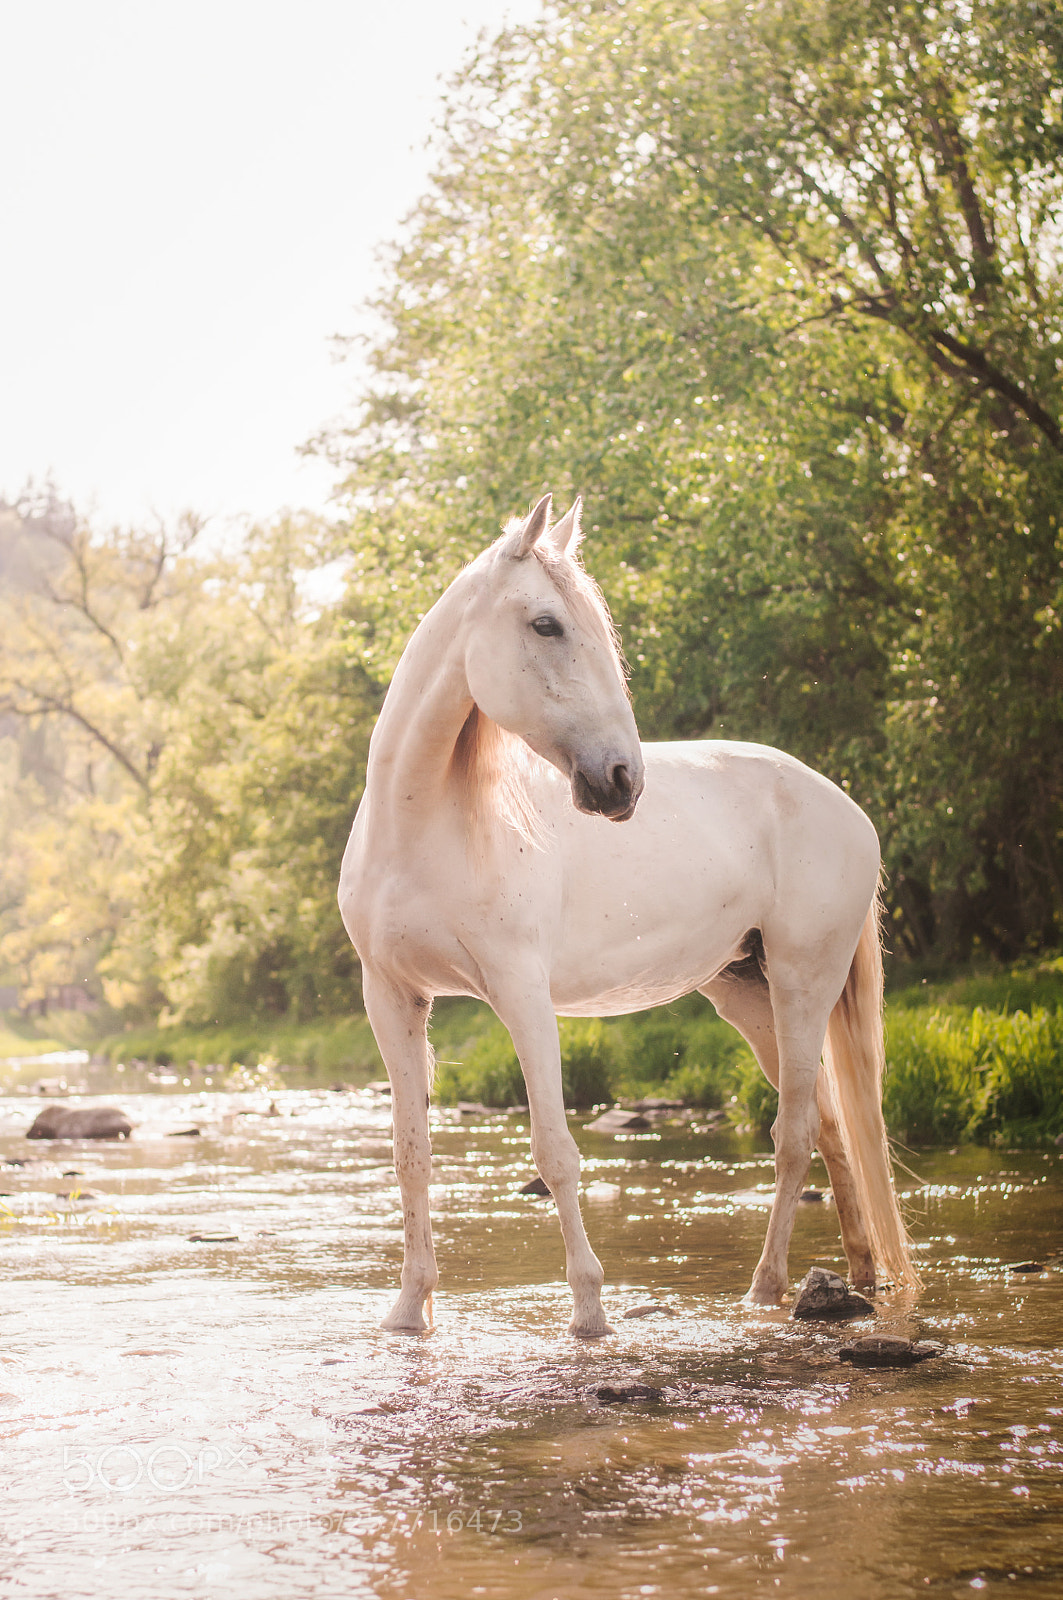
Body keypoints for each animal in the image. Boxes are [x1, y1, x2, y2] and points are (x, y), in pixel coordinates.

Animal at [338, 492, 918, 1337]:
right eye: (546, 624)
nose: (621, 780)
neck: (422, 826)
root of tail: (846, 807)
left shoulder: (521, 995)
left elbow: (553, 1150)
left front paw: (588, 1313)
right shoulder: (393, 999)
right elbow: (410, 1154)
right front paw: (410, 1310)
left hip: (802, 982)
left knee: (794, 1135)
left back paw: (765, 1289)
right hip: (746, 992)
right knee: (832, 1128)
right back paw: (856, 1277)